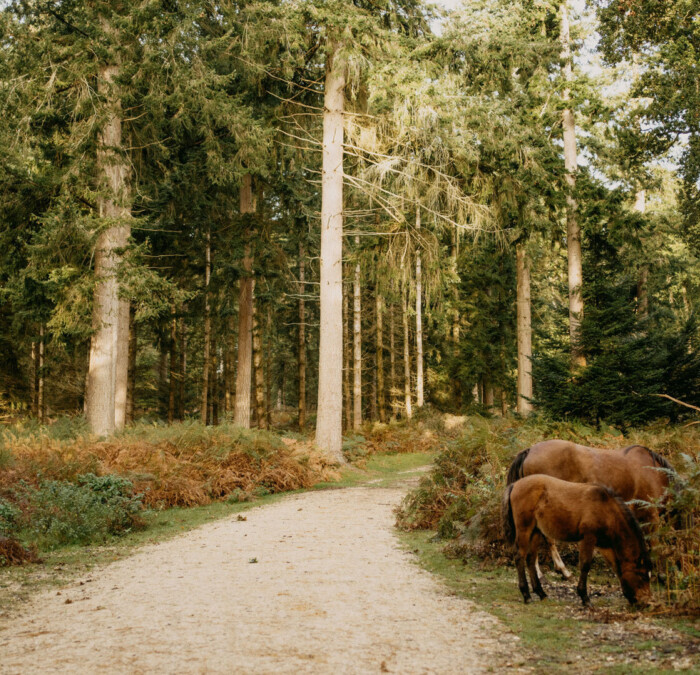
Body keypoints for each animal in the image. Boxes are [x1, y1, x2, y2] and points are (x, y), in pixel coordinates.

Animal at [500, 476, 652, 608]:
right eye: (643, 576)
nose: (646, 603)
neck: (606, 509)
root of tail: (515, 485)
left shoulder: (605, 546)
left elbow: (616, 567)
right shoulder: (588, 538)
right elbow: (585, 565)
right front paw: (585, 597)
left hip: (536, 531)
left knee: (530, 559)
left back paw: (541, 593)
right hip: (524, 529)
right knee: (519, 556)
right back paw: (526, 595)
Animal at [506, 440, 676, 580]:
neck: (655, 473)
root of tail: (530, 450)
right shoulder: (650, 514)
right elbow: (654, 543)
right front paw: (658, 574)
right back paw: (561, 571)